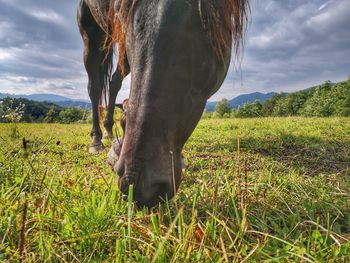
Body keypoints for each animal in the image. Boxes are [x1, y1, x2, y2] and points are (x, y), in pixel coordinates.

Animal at [78, 0, 250, 208]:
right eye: (120, 11)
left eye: (207, 21)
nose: (138, 185)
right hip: (91, 31)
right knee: (94, 87)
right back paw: (97, 139)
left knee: (114, 81)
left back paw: (109, 130)